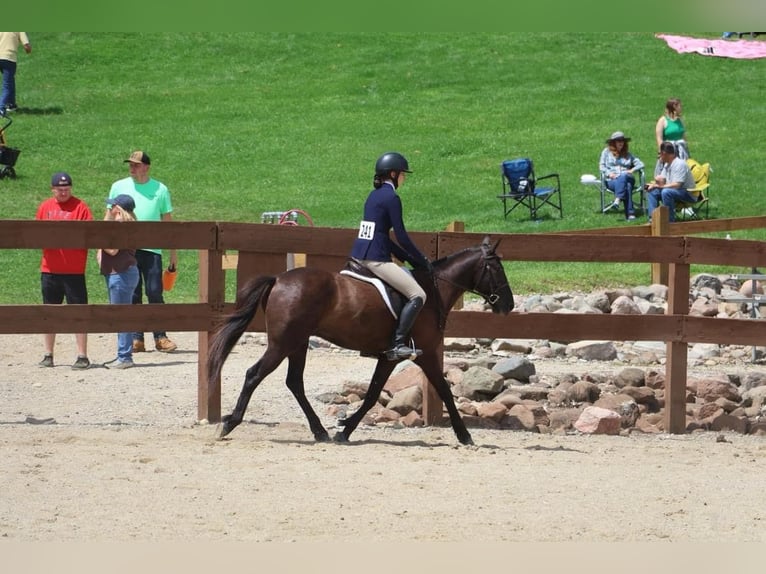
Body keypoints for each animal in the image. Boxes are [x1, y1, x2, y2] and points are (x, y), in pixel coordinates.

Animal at [207, 235, 514, 446]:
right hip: (282, 343)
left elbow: (372, 394)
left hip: (297, 343)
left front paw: (344, 430)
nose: (508, 305)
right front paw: (465, 436)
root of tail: (279, 279)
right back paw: (229, 424)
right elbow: (444, 391)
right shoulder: (424, 353)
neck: (433, 290)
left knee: (294, 382)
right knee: (254, 374)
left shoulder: (389, 356)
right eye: (498, 269)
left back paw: (320, 431)